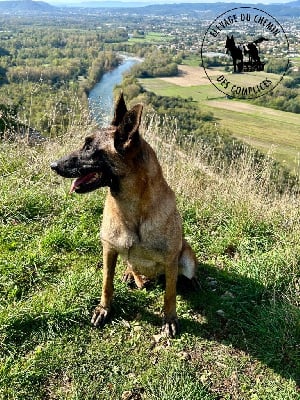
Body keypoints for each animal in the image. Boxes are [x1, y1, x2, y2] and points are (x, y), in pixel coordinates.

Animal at [50, 94, 198, 338]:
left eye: (89, 147)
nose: (52, 165)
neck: (133, 211)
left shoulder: (170, 261)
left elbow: (169, 295)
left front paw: (169, 319)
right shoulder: (109, 250)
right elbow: (106, 283)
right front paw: (103, 309)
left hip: (185, 258)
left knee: (184, 274)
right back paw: (131, 274)